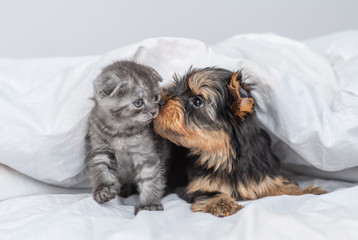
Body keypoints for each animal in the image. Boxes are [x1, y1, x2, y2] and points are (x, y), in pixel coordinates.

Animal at [87, 61, 170, 215]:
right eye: (138, 103)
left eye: (155, 97)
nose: (154, 111)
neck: (121, 131)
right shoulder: (100, 150)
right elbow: (101, 169)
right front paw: (103, 190)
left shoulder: (146, 155)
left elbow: (149, 179)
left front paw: (149, 205)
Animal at [154, 66, 328, 217]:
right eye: (176, 87)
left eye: (197, 101)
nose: (159, 100)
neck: (224, 154)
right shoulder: (196, 185)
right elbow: (212, 192)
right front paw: (222, 204)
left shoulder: (265, 176)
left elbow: (283, 186)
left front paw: (309, 191)